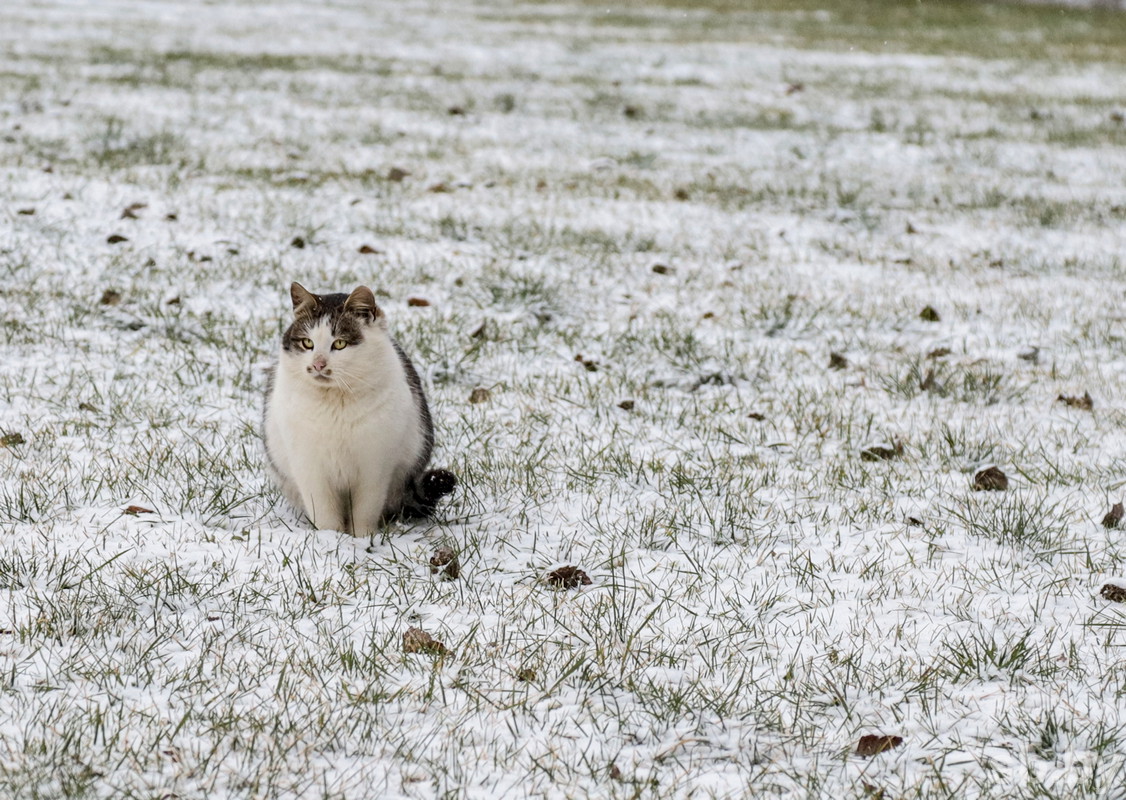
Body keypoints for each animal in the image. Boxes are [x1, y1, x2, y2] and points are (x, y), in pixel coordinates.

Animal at [264, 283, 457, 538]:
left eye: (339, 344)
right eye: (307, 343)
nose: (318, 364)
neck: (335, 403)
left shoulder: (374, 465)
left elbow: (366, 509)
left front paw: (362, 538)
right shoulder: (309, 465)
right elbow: (324, 511)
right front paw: (330, 539)